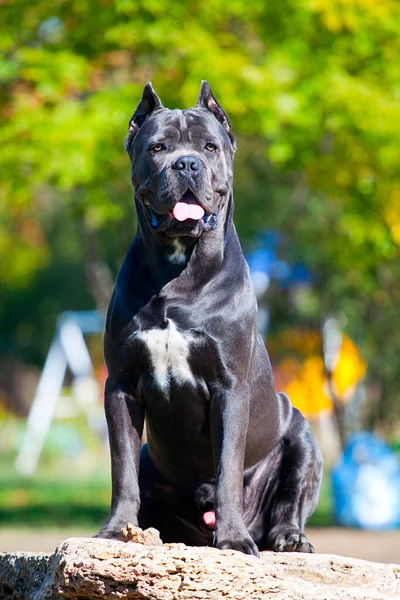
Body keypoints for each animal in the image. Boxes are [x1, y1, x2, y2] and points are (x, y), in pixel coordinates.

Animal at [96, 82, 322, 556]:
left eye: (209, 146)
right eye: (158, 147)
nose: (186, 163)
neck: (179, 272)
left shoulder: (229, 388)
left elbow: (228, 469)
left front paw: (233, 540)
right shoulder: (121, 386)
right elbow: (121, 469)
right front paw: (115, 530)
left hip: (302, 435)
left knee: (292, 497)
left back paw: (287, 537)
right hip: (151, 458)